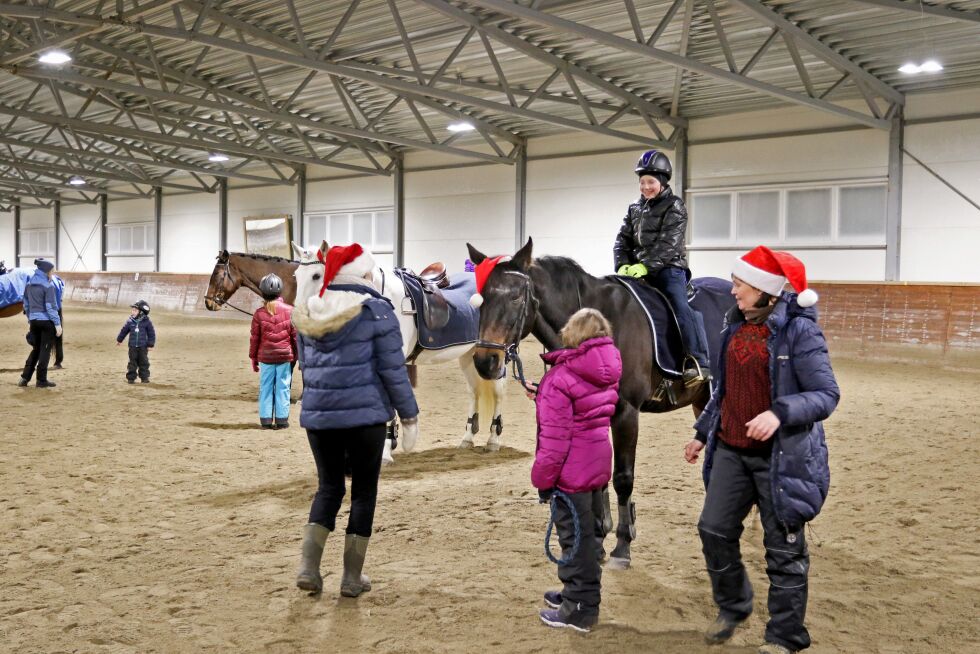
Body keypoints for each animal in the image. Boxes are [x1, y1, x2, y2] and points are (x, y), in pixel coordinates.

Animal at [468, 240, 736, 568]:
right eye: (481, 300)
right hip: (702, 401)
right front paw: (598, 537)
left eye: (516, 296)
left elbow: (622, 477)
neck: (601, 325)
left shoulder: (626, 412)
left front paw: (622, 545)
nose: (485, 361)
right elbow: (595, 471)